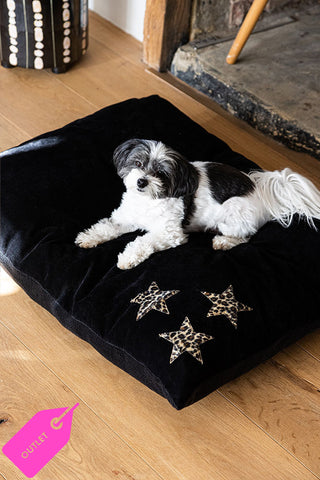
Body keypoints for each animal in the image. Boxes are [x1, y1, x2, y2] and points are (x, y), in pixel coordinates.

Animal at [75, 139, 320, 270]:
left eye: (161, 174)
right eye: (138, 163)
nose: (141, 181)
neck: (147, 201)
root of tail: (260, 191)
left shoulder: (170, 233)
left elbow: (144, 242)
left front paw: (127, 258)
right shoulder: (125, 218)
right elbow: (105, 227)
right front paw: (88, 237)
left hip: (232, 215)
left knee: (245, 236)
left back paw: (223, 242)